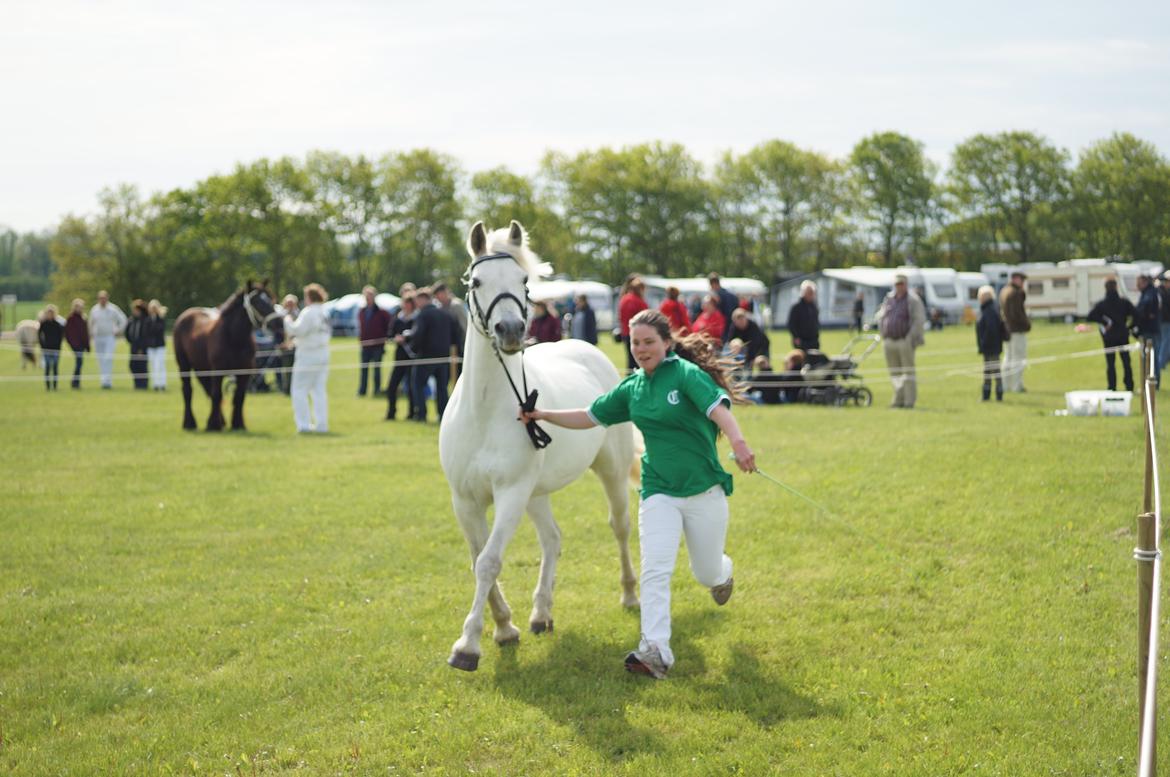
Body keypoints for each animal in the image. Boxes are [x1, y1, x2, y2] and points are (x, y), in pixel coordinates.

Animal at [170, 280, 283, 430]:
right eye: (257, 302)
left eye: (271, 300)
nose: (279, 323)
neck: (234, 338)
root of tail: (185, 316)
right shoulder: (218, 371)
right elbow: (217, 394)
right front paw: (213, 425)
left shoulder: (244, 372)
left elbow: (239, 397)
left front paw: (238, 424)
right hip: (184, 366)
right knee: (188, 391)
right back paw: (190, 423)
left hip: (202, 368)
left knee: (208, 391)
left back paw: (221, 421)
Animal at [439, 221, 641, 669]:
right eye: (477, 281)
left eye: (524, 282)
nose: (511, 331)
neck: (484, 411)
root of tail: (587, 349)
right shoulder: (465, 500)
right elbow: (477, 560)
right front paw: (504, 627)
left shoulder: (510, 493)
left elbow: (489, 561)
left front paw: (467, 645)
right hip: (537, 494)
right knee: (552, 539)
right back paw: (541, 614)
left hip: (609, 472)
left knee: (619, 527)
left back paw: (630, 595)